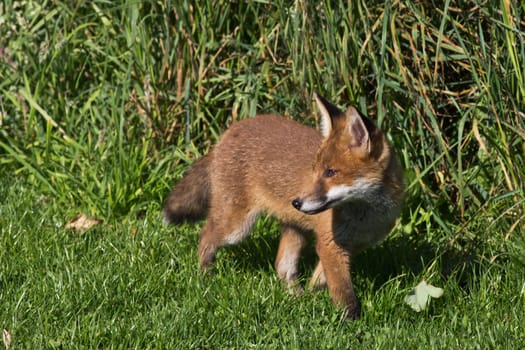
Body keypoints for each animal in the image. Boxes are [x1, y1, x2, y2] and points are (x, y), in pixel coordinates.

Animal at [164, 93, 406, 320]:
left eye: (330, 172)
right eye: (316, 170)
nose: (296, 202)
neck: (365, 219)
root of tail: (229, 131)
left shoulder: (350, 246)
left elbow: (320, 280)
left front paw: (312, 298)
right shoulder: (330, 244)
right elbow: (343, 291)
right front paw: (350, 321)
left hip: (294, 229)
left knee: (282, 266)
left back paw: (295, 297)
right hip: (236, 228)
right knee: (206, 236)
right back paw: (206, 275)